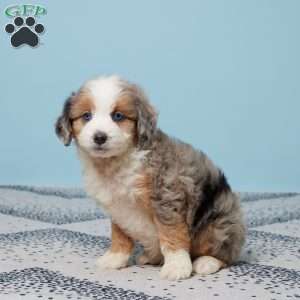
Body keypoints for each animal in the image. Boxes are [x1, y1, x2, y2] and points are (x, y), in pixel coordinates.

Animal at [55, 75, 245, 282]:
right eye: (86, 116)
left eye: (118, 116)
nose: (99, 137)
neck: (117, 162)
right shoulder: (117, 206)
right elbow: (119, 234)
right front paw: (115, 258)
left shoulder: (167, 197)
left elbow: (172, 234)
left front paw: (177, 266)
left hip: (217, 226)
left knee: (226, 254)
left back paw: (206, 262)